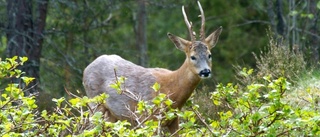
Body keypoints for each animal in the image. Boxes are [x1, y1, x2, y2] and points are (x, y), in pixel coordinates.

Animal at [83, 1, 222, 135]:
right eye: (193, 57)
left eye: (209, 55)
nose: (205, 71)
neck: (171, 88)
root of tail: (86, 68)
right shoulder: (148, 118)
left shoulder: (174, 119)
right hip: (95, 103)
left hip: (112, 115)